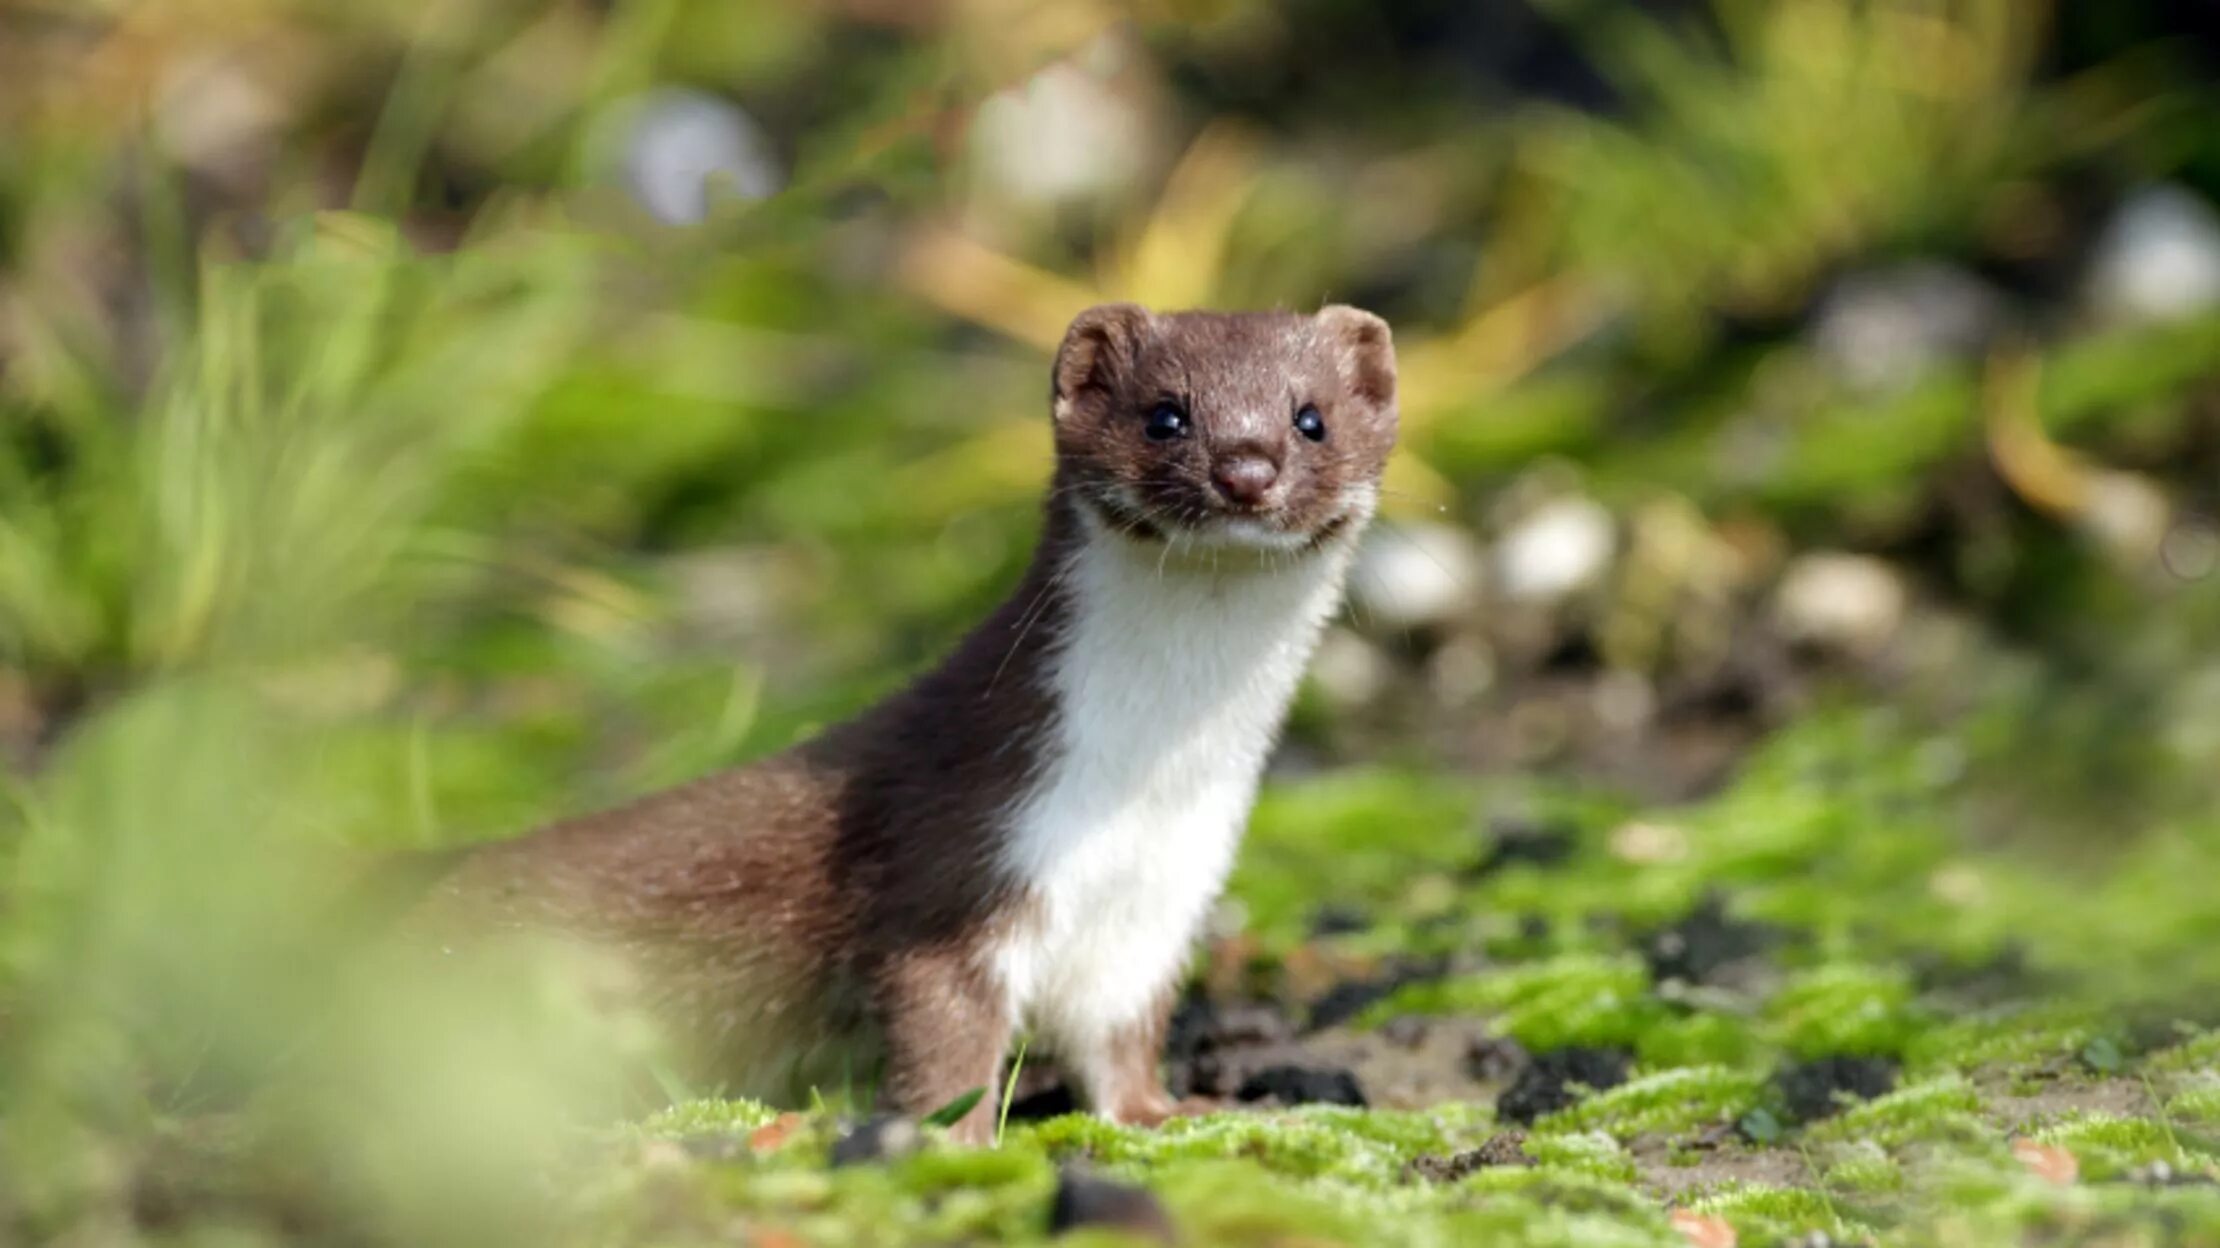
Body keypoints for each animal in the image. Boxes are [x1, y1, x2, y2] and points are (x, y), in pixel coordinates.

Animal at [421, 299, 1394, 1136]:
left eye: (1310, 418)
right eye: (1166, 415)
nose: (1246, 469)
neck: (1140, 790)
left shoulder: (1156, 908)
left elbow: (1120, 1038)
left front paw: (1172, 1111)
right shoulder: (958, 857)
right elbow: (940, 1032)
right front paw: (954, 1138)